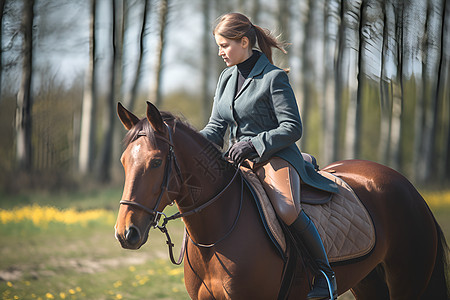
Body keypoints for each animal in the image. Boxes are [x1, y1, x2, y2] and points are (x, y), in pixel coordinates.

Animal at [114, 102, 448, 298]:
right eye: (123, 162)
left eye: (156, 162)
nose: (125, 233)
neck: (217, 235)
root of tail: (407, 186)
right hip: (369, 282)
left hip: (407, 282)